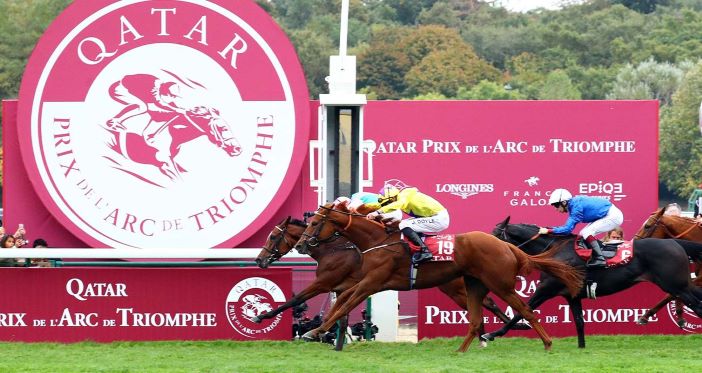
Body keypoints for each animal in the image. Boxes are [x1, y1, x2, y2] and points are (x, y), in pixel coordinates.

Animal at [253, 215, 524, 348]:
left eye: (274, 236)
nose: (259, 260)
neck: (335, 249)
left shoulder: (326, 283)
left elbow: (296, 299)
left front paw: (263, 316)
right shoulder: (344, 287)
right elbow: (340, 310)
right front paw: (330, 337)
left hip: (456, 287)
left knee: (488, 303)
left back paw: (500, 330)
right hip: (455, 287)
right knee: (483, 305)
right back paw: (488, 335)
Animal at [292, 202, 584, 350]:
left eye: (315, 222)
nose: (303, 244)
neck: (377, 240)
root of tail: (507, 246)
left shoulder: (372, 282)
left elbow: (346, 304)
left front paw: (316, 331)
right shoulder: (368, 282)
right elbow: (342, 302)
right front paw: (317, 330)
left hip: (498, 284)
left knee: (525, 309)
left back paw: (543, 342)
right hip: (473, 284)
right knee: (480, 315)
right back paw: (472, 345)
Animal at [486, 217, 702, 348]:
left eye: (495, 235)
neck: (554, 253)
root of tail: (674, 242)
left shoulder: (545, 289)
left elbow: (522, 311)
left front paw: (491, 334)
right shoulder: (571, 294)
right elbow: (580, 322)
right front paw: (581, 348)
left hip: (676, 285)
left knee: (697, 306)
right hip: (683, 284)